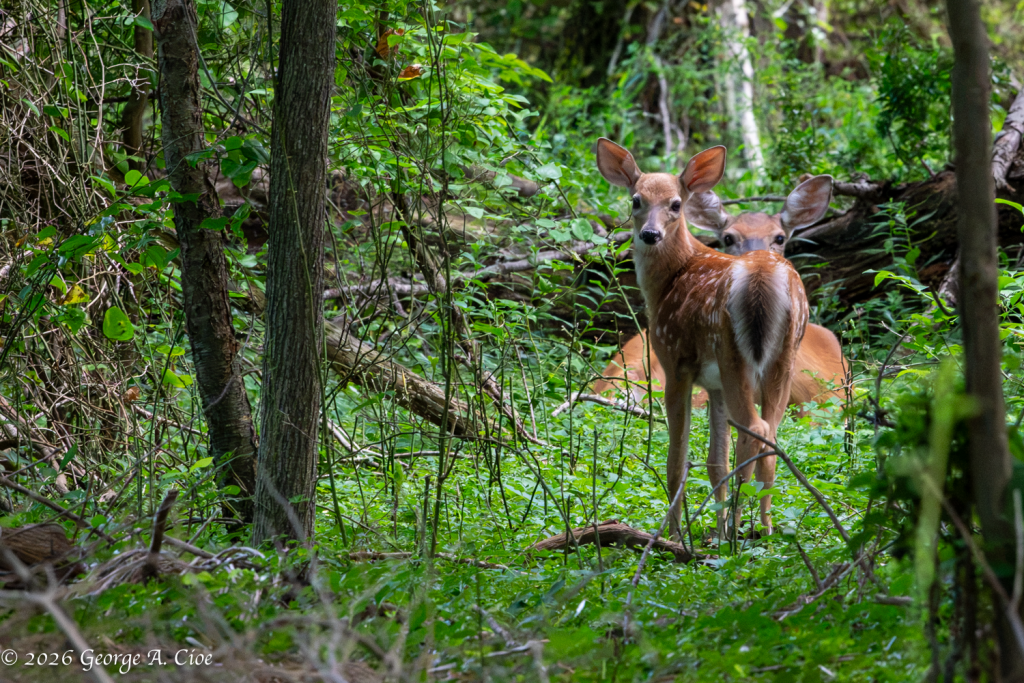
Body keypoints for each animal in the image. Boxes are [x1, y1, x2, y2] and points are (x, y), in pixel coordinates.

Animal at [595, 138, 809, 539]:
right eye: (636, 200)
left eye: (676, 204)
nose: (650, 234)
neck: (671, 279)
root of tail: (766, 280)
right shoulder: (714, 385)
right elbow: (715, 461)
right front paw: (716, 526)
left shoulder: (676, 362)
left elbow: (677, 460)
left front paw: (674, 534)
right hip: (783, 357)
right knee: (771, 434)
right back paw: (763, 527)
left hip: (732, 353)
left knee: (756, 429)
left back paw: (740, 530)